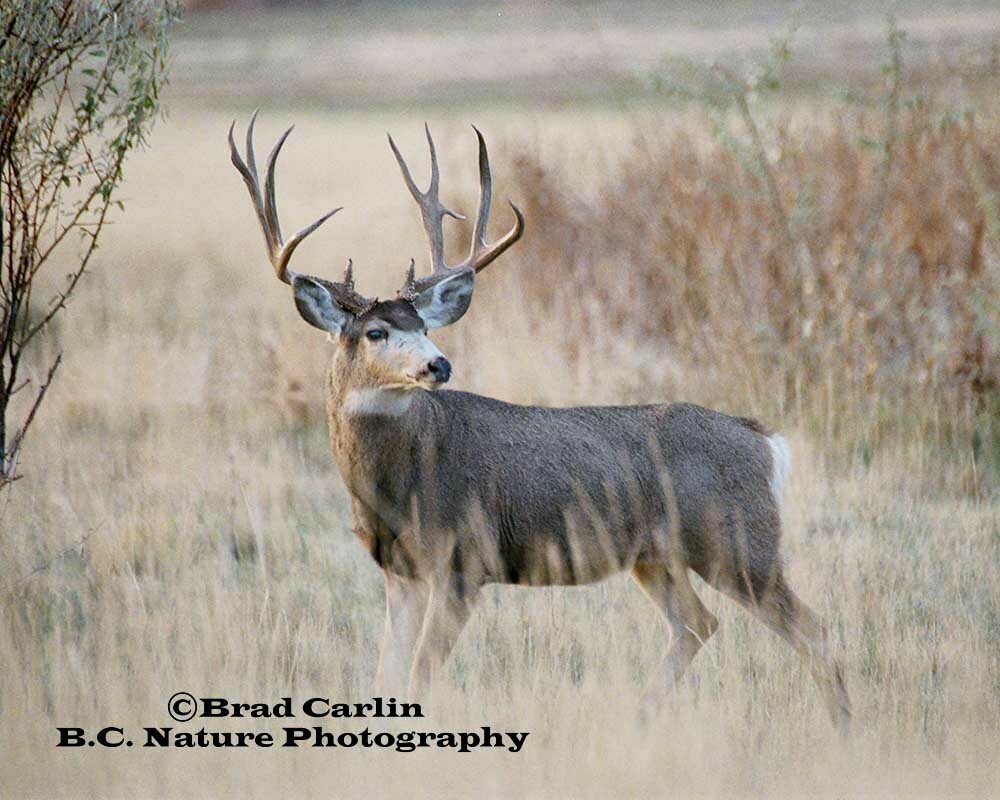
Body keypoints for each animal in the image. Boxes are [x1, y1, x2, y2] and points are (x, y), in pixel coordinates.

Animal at [228, 112, 851, 729]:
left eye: (425, 326)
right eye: (376, 331)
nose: (439, 364)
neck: (396, 486)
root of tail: (764, 441)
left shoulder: (464, 560)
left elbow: (420, 674)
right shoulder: (399, 573)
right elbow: (388, 677)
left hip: (738, 540)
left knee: (813, 630)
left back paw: (842, 728)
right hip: (656, 557)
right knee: (697, 624)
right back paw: (638, 722)